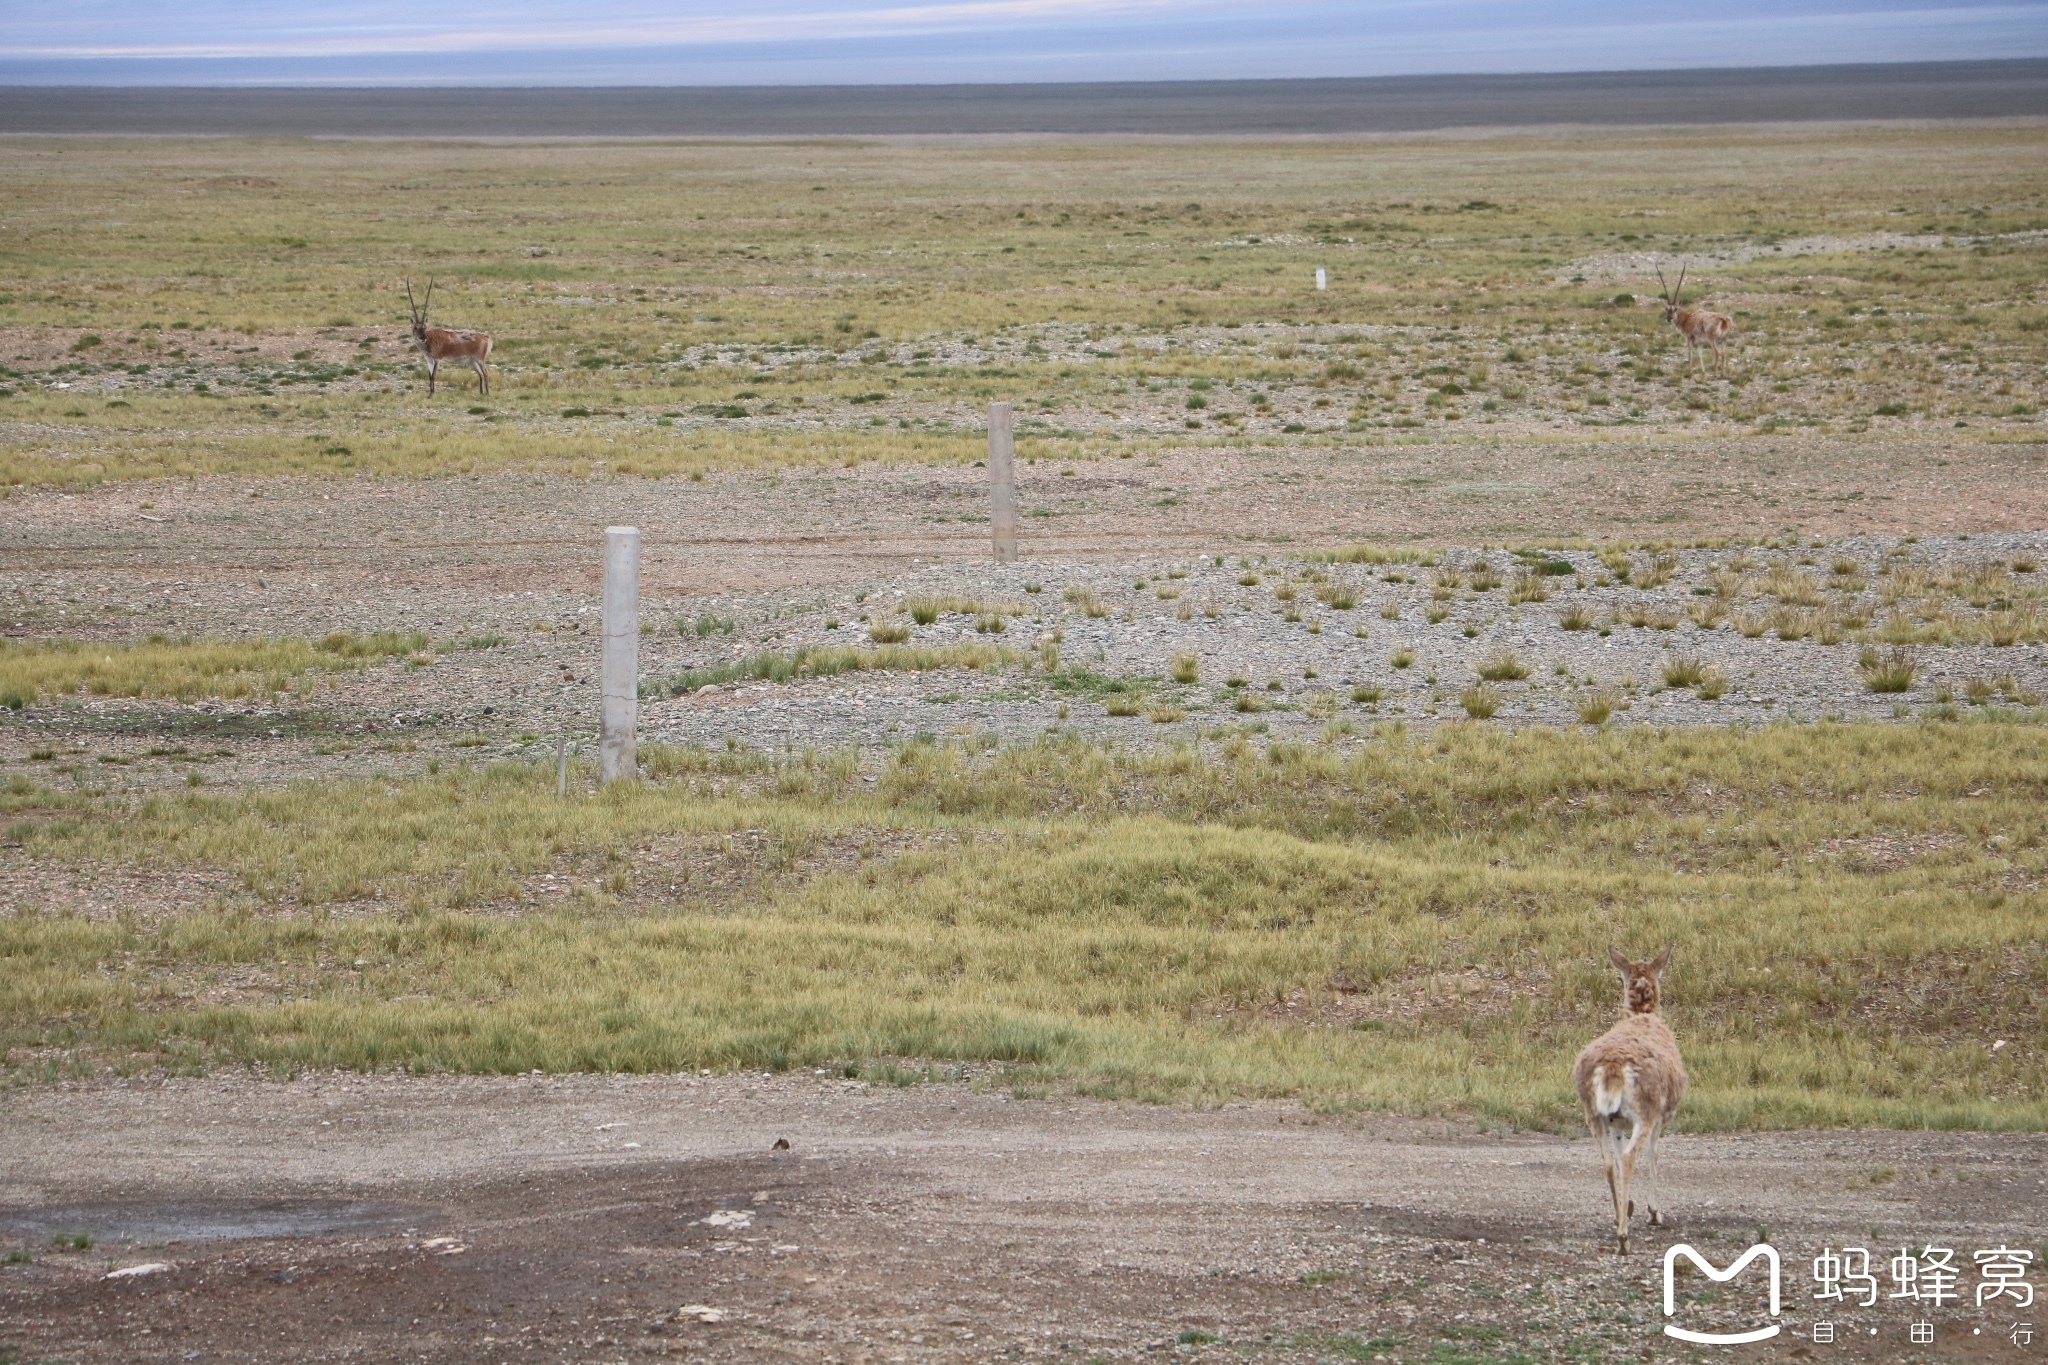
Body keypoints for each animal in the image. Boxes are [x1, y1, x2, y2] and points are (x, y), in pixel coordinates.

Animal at [1572, 945, 1687, 1252]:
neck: (1644, 1017)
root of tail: (1612, 1067)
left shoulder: (1617, 1122)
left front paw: (1630, 1207)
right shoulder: (1659, 1116)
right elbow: (1654, 1154)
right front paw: (1654, 1212)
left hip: (1593, 1112)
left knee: (1609, 1161)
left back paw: (1619, 1217)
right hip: (1645, 1110)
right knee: (1629, 1156)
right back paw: (1624, 1236)